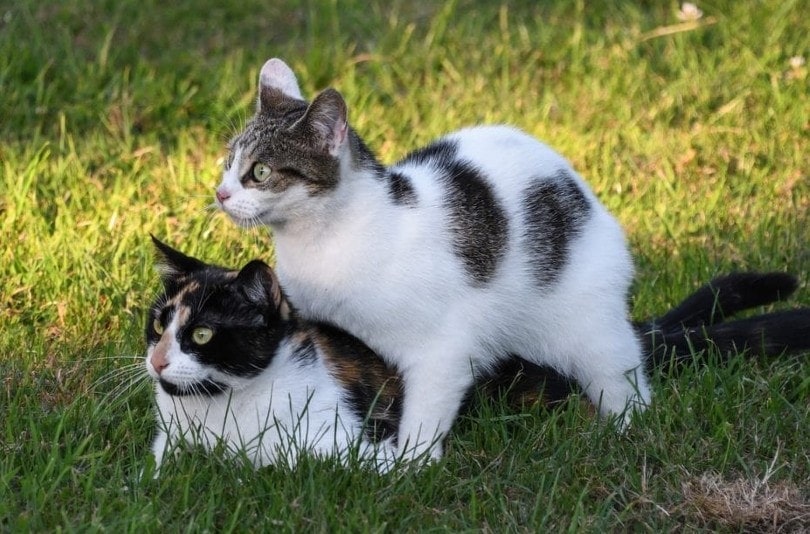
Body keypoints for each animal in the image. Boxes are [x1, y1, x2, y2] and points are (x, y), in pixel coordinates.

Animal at [144, 239, 808, 474]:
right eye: (157, 322)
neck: (220, 417)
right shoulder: (167, 443)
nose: (156, 361)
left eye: (202, 336)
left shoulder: (347, 442)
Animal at [211, 57, 804, 460]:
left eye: (259, 172)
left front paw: (409, 466)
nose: (218, 193)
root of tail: (583, 193)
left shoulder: (441, 350)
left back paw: (623, 431)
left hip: (588, 326)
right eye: (228, 162)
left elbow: (426, 410)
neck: (324, 241)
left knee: (623, 374)